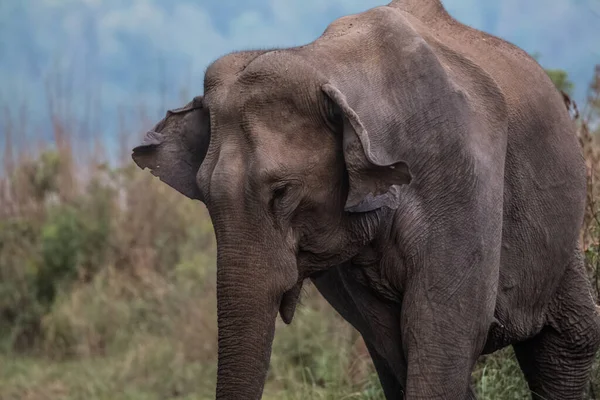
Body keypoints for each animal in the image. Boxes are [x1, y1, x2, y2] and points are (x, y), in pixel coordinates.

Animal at [130, 0, 600, 400]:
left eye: (283, 192)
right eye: (205, 198)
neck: (327, 64)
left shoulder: (463, 172)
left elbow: (443, 327)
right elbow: (392, 336)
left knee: (568, 342)